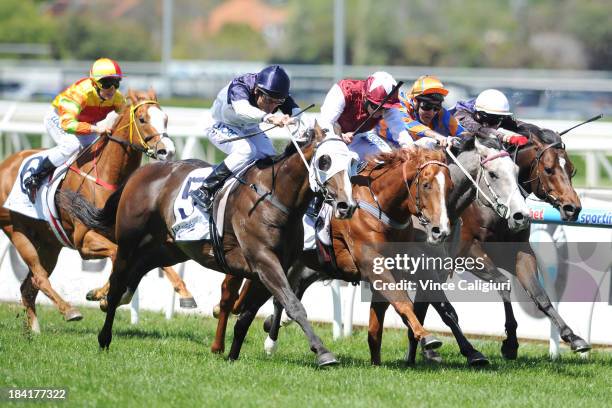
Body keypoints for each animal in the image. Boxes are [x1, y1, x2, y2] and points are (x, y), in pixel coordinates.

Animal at [0, 89, 194, 332]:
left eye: (166, 118)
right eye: (142, 119)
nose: (167, 151)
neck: (107, 175)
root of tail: (5, 164)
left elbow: (151, 262)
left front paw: (184, 292)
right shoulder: (84, 240)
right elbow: (115, 256)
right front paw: (103, 295)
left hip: (49, 243)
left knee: (29, 286)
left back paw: (35, 330)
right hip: (16, 230)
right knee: (39, 277)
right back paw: (69, 311)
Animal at [59, 125, 358, 366]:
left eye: (351, 161)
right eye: (325, 160)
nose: (346, 205)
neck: (274, 198)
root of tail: (141, 172)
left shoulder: (272, 267)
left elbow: (248, 314)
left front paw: (232, 355)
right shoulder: (264, 261)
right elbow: (293, 305)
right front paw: (323, 352)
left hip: (166, 249)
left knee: (137, 274)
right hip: (129, 243)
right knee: (119, 282)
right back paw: (104, 335)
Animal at [210, 145, 454, 358]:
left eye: (450, 187)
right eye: (426, 185)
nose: (440, 230)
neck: (379, 207)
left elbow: (380, 321)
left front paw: (378, 361)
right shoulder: (372, 264)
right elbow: (401, 301)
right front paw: (426, 337)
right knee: (230, 293)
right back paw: (220, 341)